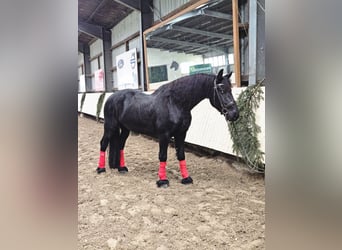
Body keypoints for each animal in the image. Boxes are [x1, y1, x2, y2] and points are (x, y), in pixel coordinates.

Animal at [97, 69, 238, 188]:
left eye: (230, 89)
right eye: (221, 90)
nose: (234, 114)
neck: (175, 103)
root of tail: (111, 98)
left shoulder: (181, 134)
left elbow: (181, 155)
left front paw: (186, 178)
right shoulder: (164, 135)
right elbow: (162, 156)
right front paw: (163, 181)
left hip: (125, 129)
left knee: (120, 145)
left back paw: (122, 168)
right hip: (110, 127)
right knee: (103, 143)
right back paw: (101, 169)